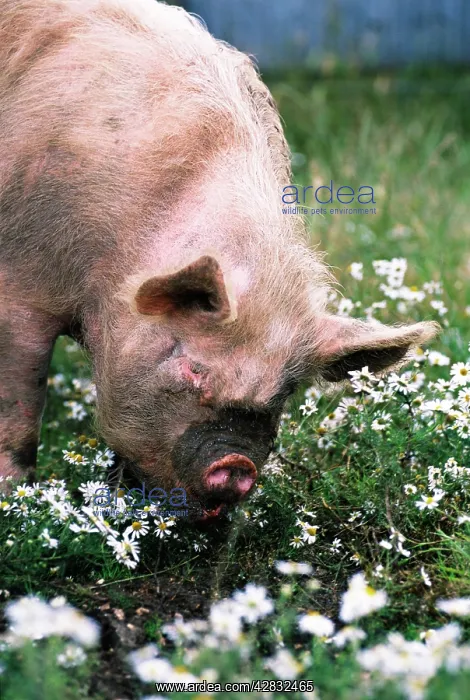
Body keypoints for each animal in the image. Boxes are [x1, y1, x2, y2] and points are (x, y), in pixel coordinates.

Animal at [0, 0, 438, 517]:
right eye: (193, 366)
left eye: (285, 390)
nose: (236, 466)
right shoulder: (21, 287)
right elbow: (20, 408)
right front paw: (16, 501)